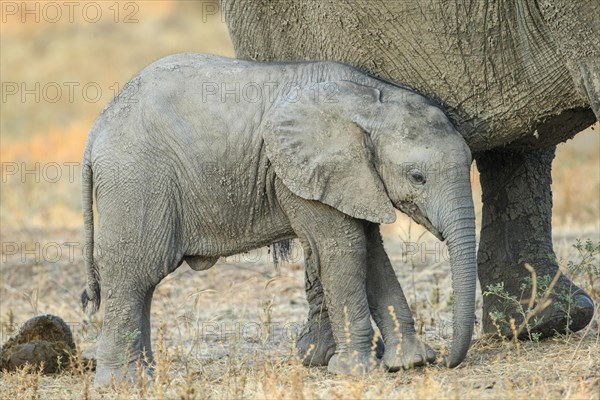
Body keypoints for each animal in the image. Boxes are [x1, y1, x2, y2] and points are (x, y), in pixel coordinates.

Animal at [83, 53, 478, 384]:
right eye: (417, 177)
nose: (449, 362)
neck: (370, 99)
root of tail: (97, 128)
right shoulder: (300, 176)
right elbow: (344, 248)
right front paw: (355, 371)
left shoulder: (355, 177)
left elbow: (372, 251)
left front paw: (411, 362)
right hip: (136, 178)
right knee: (134, 273)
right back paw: (122, 383)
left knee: (142, 283)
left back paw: (146, 376)